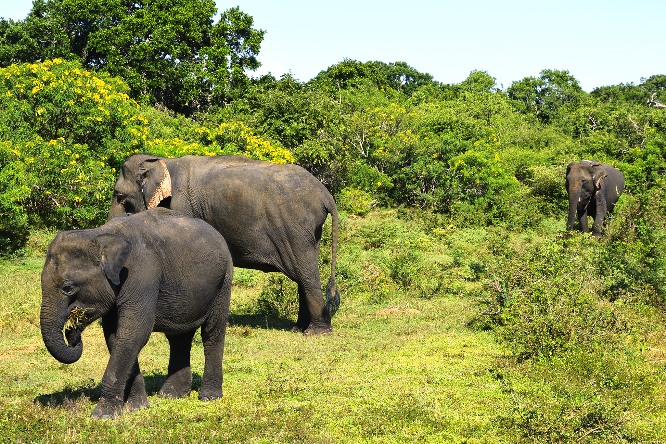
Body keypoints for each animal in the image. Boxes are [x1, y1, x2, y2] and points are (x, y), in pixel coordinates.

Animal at [40, 208, 233, 420]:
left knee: (212, 333)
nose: (72, 333)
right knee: (179, 338)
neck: (99, 235)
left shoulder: (141, 276)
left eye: (68, 288)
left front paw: (102, 415)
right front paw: (137, 407)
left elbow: (134, 333)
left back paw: (208, 397)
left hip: (223, 281)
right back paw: (171, 395)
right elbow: (116, 336)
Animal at [109, 154, 340, 334]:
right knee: (303, 272)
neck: (162, 161)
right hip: (307, 232)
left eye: (120, 196)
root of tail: (325, 194)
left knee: (306, 273)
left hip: (295, 227)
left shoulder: (182, 207)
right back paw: (299, 328)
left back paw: (315, 332)